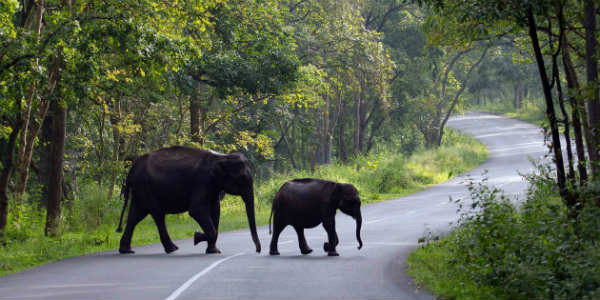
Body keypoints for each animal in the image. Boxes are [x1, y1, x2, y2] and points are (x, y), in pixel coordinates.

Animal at [115, 146, 260, 254]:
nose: (258, 250)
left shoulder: (213, 186)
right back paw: (172, 249)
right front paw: (197, 237)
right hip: (146, 189)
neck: (221, 157)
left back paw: (126, 250)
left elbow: (215, 210)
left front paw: (211, 249)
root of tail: (131, 171)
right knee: (157, 215)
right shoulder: (202, 182)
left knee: (136, 215)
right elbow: (196, 210)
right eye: (242, 178)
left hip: (140, 191)